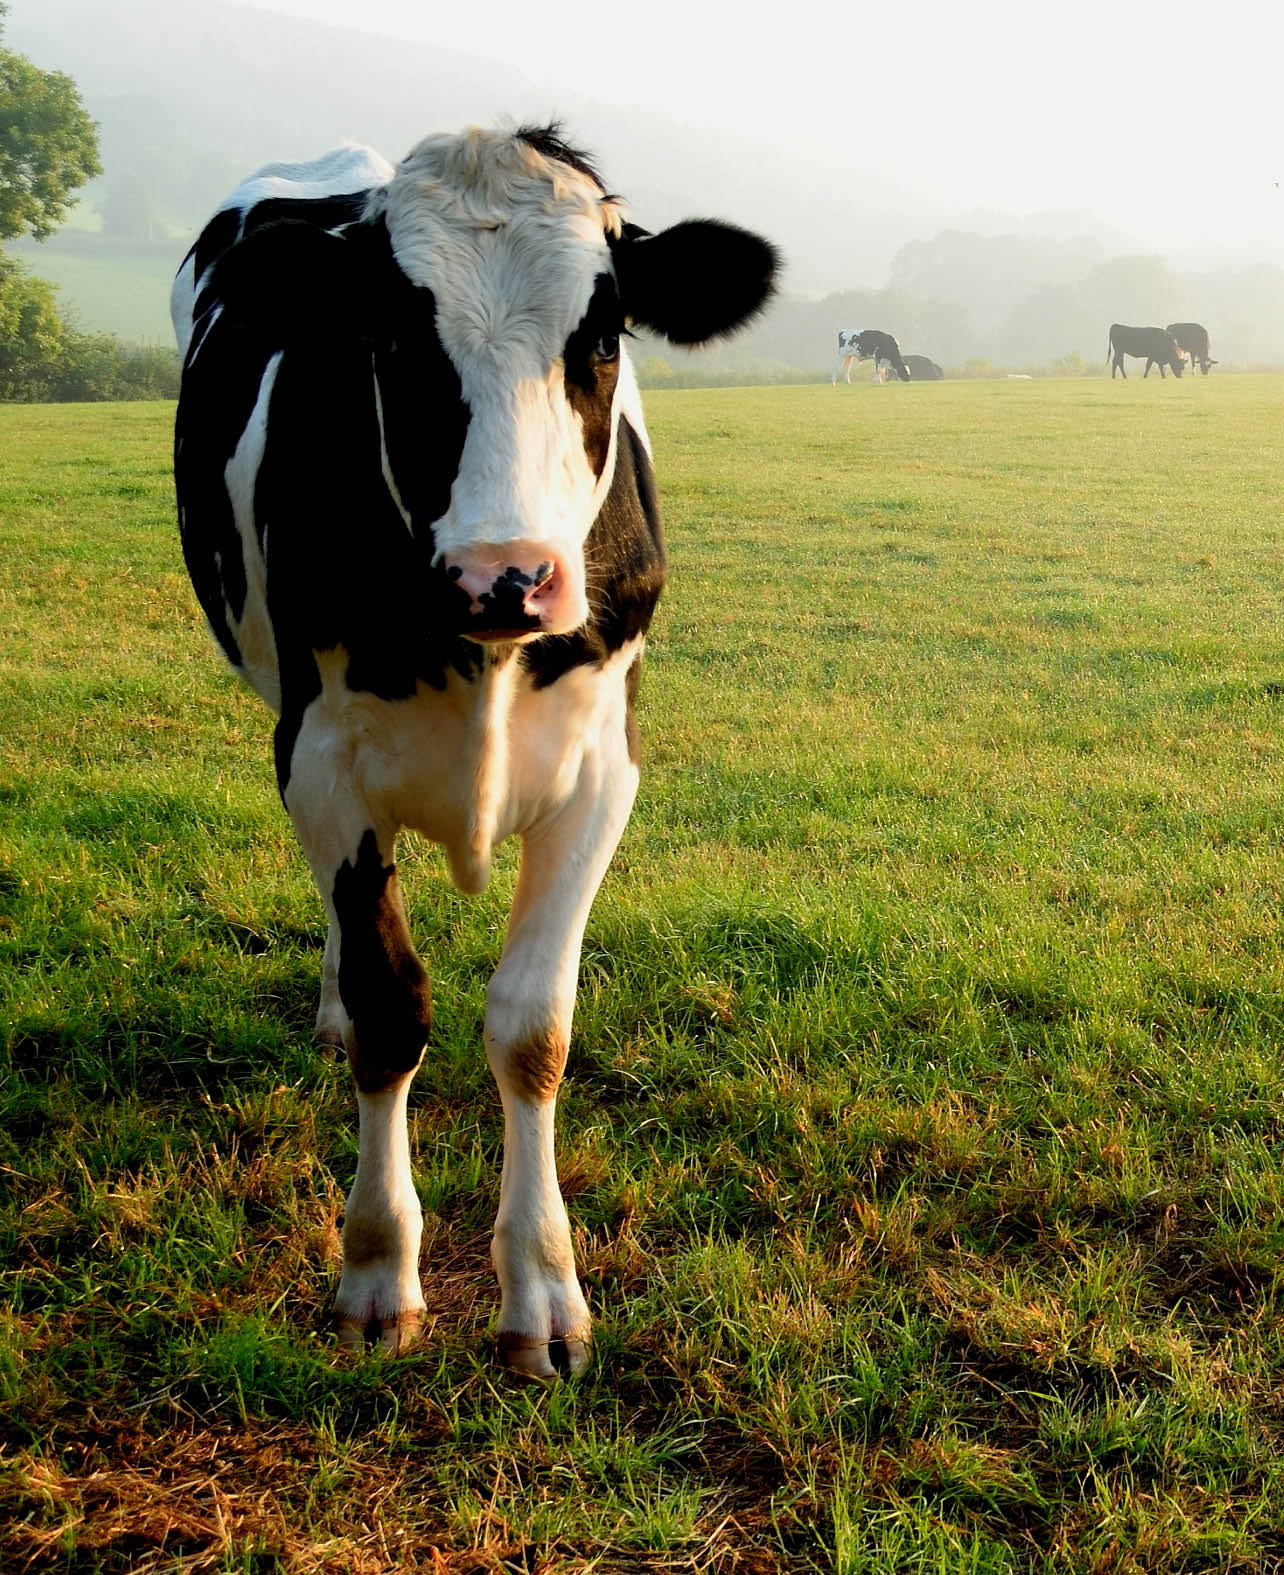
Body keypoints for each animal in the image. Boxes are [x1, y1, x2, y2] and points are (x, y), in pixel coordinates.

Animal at [170, 125, 778, 1381]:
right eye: (392, 338)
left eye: (602, 336)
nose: (504, 575)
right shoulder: (319, 757)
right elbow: (390, 1003)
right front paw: (374, 1270)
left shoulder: (602, 768)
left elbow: (532, 1028)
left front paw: (542, 1290)